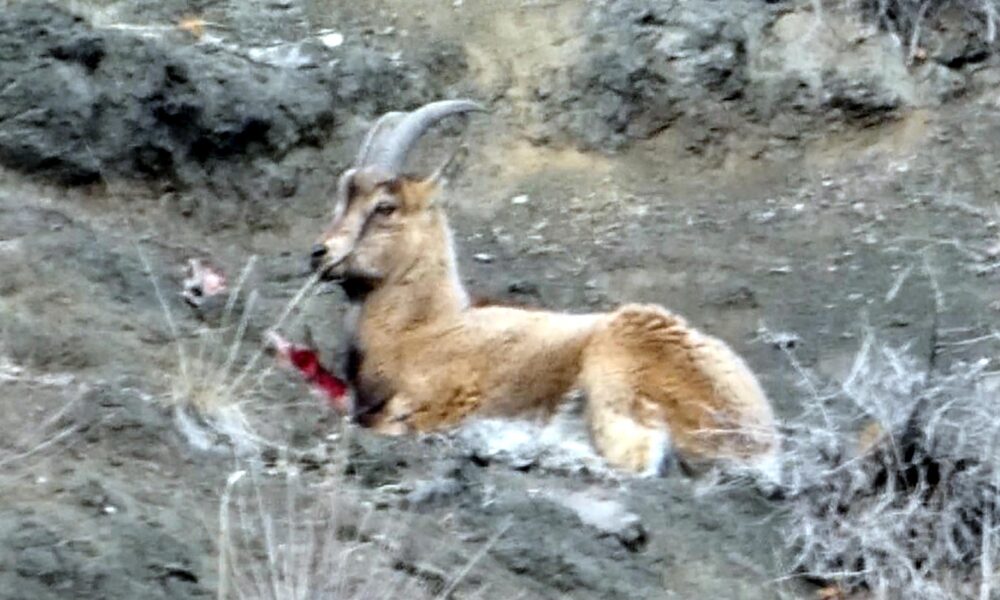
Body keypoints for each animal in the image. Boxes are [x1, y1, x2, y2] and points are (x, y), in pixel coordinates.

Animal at [308, 100, 779, 476]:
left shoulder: (439, 396)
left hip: (613, 365)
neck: (422, 328)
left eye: (385, 207)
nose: (319, 253)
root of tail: (756, 438)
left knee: (638, 458)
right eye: (342, 196)